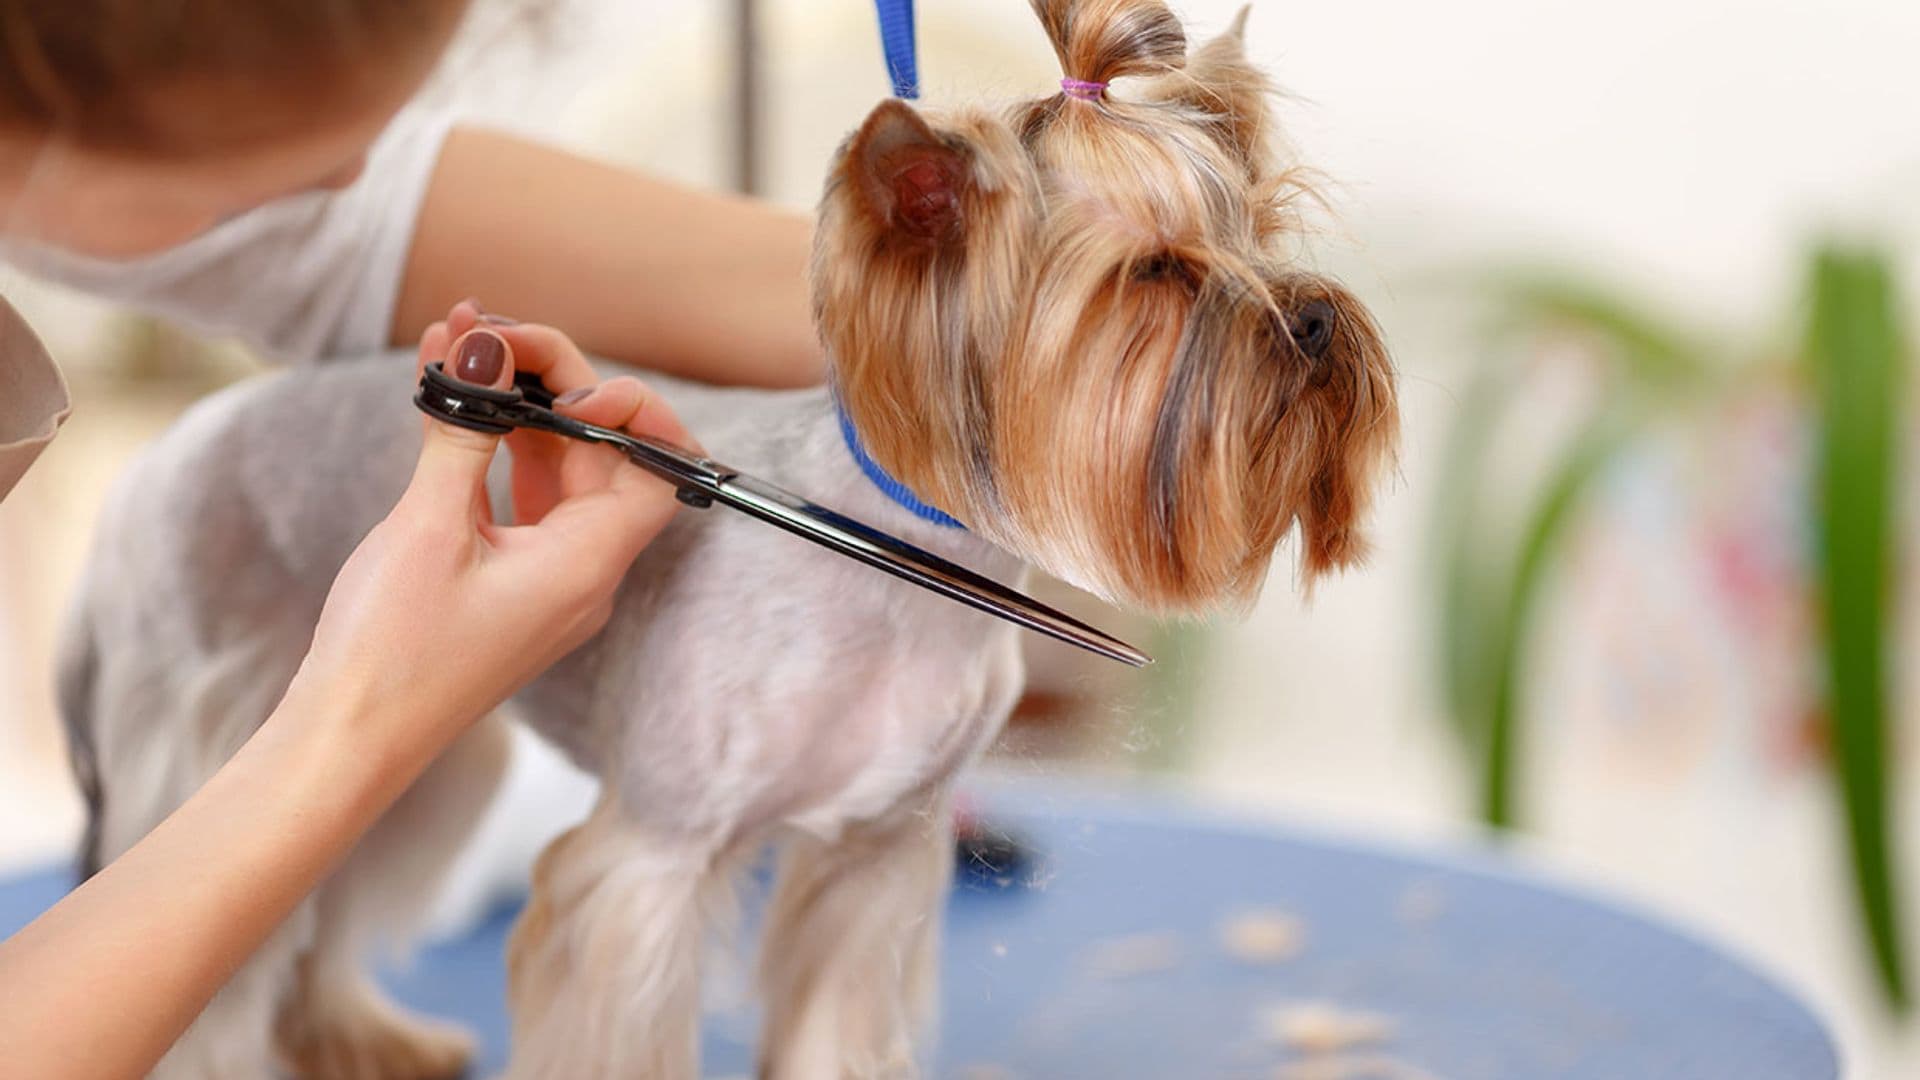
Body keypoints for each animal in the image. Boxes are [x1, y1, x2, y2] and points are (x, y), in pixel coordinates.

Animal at [60, 4, 1397, 1068]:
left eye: (1266, 224)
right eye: (1158, 275)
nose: (1318, 319)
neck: (899, 569)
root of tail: (161, 461)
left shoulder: (872, 863)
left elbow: (830, 1031)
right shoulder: (644, 870)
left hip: (407, 753)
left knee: (328, 900)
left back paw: (362, 1034)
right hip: (229, 737)